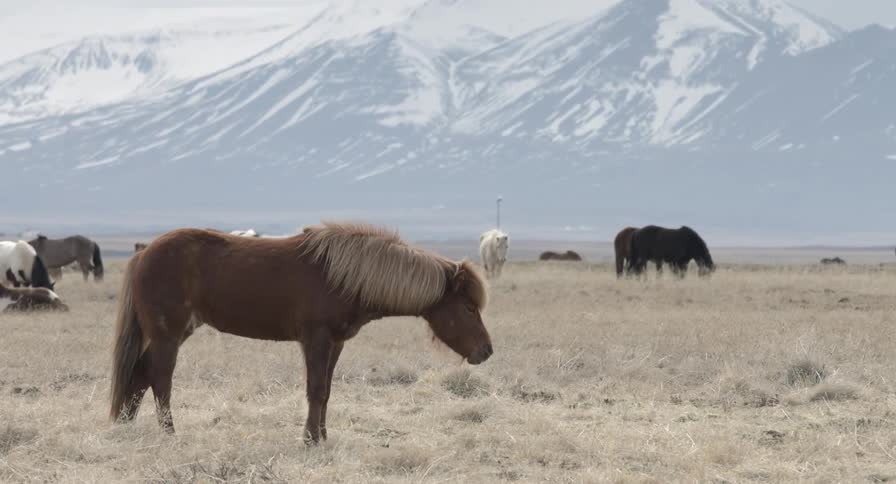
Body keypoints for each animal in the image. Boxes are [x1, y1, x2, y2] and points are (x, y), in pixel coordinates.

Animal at [109, 222, 493, 445]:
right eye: (469, 308)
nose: (487, 351)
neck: (344, 276)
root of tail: (143, 254)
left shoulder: (336, 344)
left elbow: (326, 392)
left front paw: (321, 437)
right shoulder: (316, 341)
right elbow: (316, 390)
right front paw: (310, 440)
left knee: (140, 373)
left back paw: (126, 426)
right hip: (167, 335)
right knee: (159, 378)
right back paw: (169, 434)